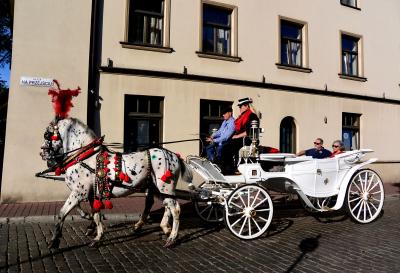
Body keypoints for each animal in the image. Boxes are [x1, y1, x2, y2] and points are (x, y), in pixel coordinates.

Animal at [39, 116, 192, 248]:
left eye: (47, 134)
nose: (42, 153)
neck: (84, 157)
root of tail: (174, 156)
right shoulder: (90, 194)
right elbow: (96, 215)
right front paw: (97, 236)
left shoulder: (79, 192)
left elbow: (62, 213)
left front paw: (54, 241)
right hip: (158, 188)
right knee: (164, 205)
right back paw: (163, 227)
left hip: (165, 186)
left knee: (175, 209)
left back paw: (171, 238)